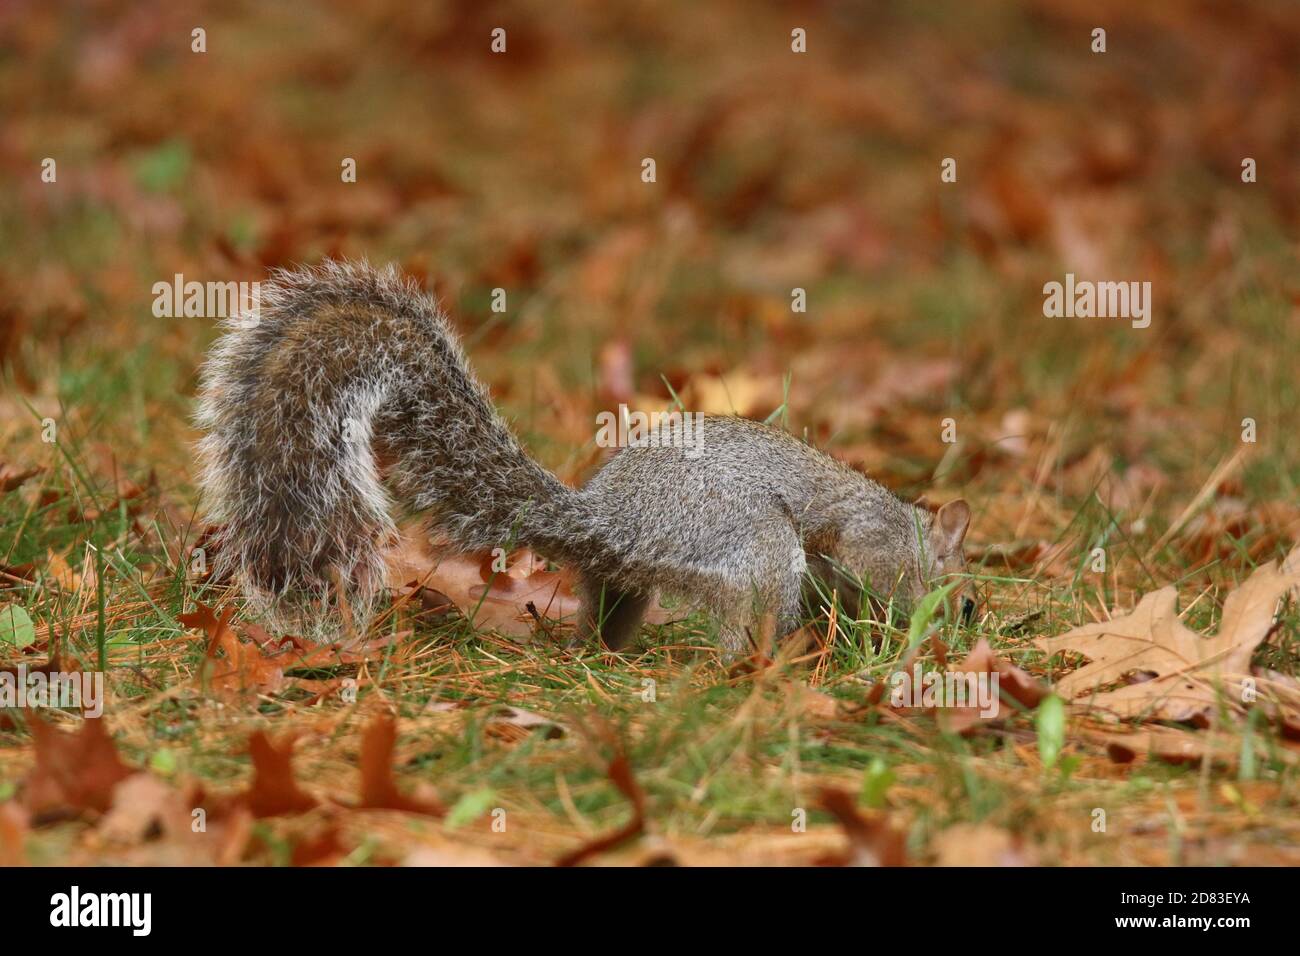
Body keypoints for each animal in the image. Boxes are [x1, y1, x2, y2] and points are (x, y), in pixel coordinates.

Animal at [197, 260, 972, 650]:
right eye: (965, 606)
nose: (963, 635)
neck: (910, 525)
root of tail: (607, 519)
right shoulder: (870, 540)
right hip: (750, 545)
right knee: (745, 626)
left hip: (623, 581)